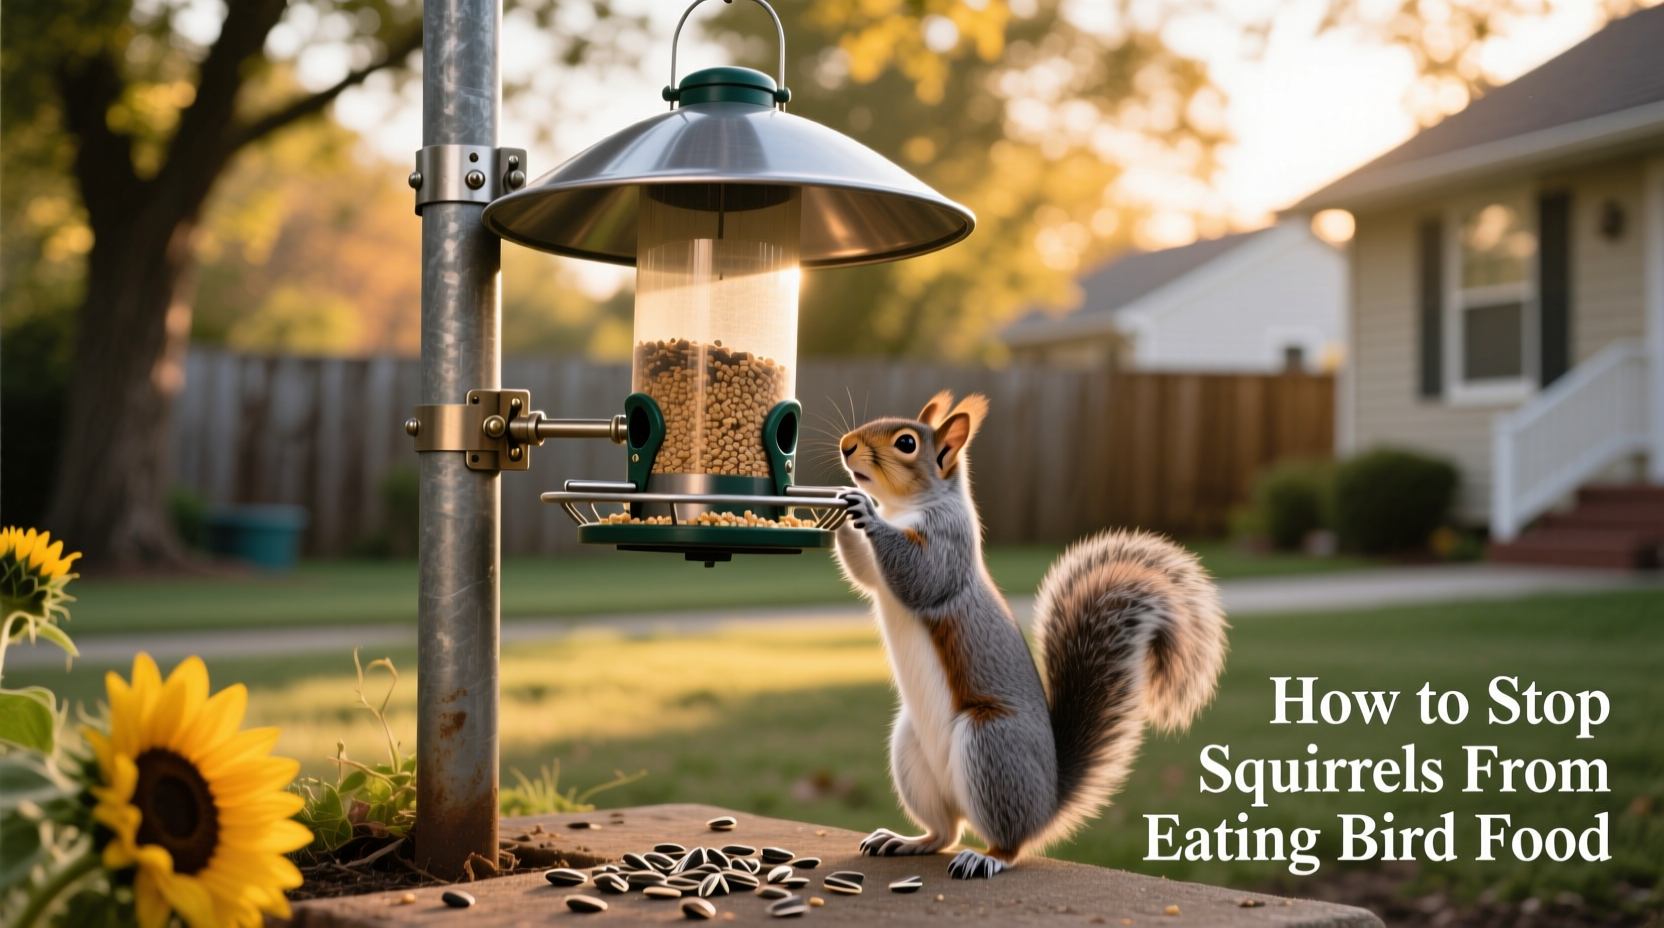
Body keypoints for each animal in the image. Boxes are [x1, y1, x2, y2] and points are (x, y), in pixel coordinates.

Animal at [831, 390, 1228, 879]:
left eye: (907, 443)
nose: (847, 446)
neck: (905, 508)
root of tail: (1046, 805)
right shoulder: (878, 572)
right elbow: (865, 571)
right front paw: (841, 503)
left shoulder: (948, 545)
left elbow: (920, 575)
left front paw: (864, 509)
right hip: (913, 753)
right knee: (945, 831)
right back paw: (908, 840)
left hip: (990, 744)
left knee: (1006, 841)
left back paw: (985, 858)